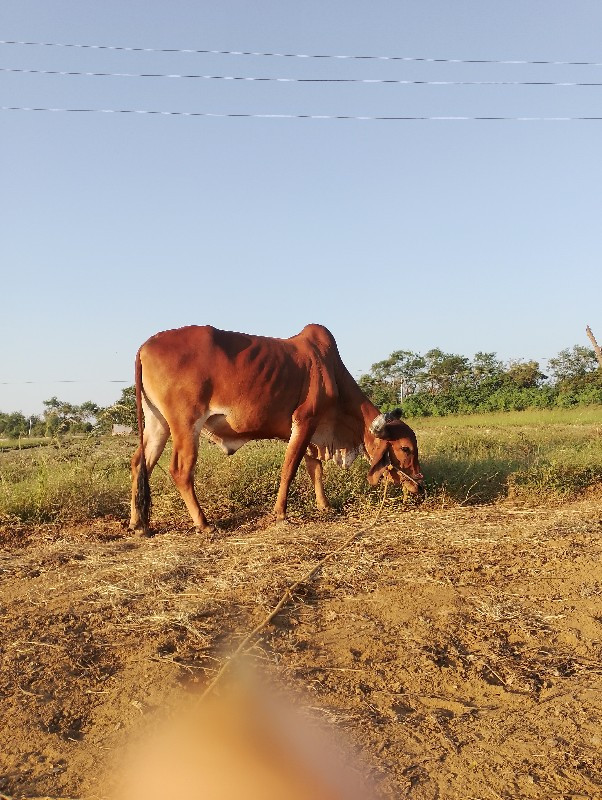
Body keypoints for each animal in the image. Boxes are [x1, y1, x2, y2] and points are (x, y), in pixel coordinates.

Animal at [130, 322, 422, 536]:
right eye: (405, 448)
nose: (418, 483)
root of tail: (145, 346)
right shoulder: (305, 421)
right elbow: (289, 469)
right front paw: (281, 514)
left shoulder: (314, 432)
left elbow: (315, 469)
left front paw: (324, 506)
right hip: (185, 425)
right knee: (180, 471)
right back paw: (203, 523)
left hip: (157, 423)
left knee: (139, 463)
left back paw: (138, 524)